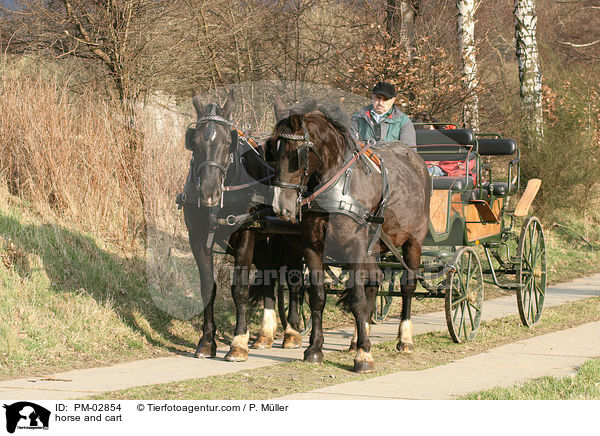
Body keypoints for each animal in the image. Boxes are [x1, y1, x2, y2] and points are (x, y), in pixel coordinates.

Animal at [179, 91, 302, 362]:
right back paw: (265, 334)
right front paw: (207, 342)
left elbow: (240, 290)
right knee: (269, 277)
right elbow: (208, 289)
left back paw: (292, 332)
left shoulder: (245, 237)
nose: (209, 192)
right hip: (265, 241)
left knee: (294, 279)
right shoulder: (198, 240)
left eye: (228, 143)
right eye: (196, 142)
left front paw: (238, 343)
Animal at [264, 98, 428, 372]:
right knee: (373, 283)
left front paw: (363, 356)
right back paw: (358, 338)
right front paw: (314, 349)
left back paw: (404, 338)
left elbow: (357, 299)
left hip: (412, 242)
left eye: (295, 154)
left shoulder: (356, 248)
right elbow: (318, 297)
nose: (280, 207)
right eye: (271, 152)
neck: (336, 184)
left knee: (407, 286)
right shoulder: (313, 247)